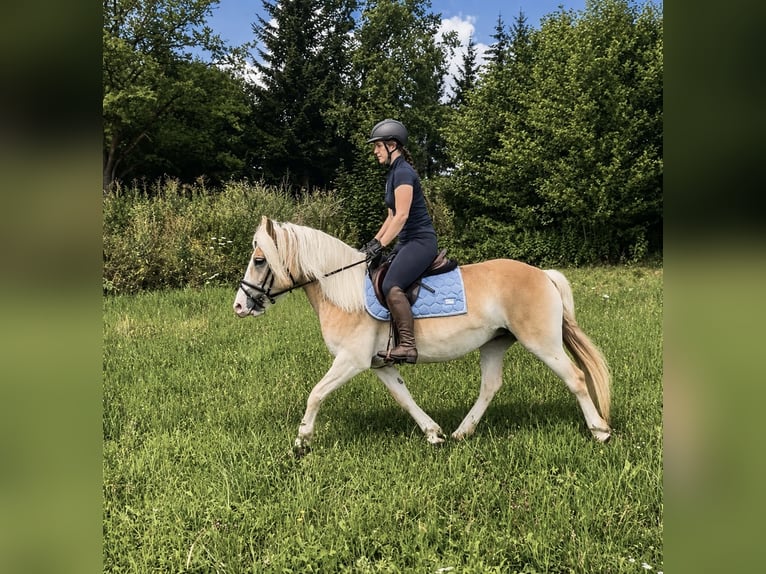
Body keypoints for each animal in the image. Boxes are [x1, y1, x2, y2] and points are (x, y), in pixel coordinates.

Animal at [233, 216, 612, 457]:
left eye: (259, 260)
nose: (239, 305)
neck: (345, 293)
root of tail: (543, 275)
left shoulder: (351, 361)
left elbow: (316, 394)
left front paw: (301, 442)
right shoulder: (380, 364)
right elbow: (404, 398)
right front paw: (433, 434)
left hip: (542, 342)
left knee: (576, 378)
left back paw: (600, 430)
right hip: (494, 343)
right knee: (490, 386)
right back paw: (461, 432)